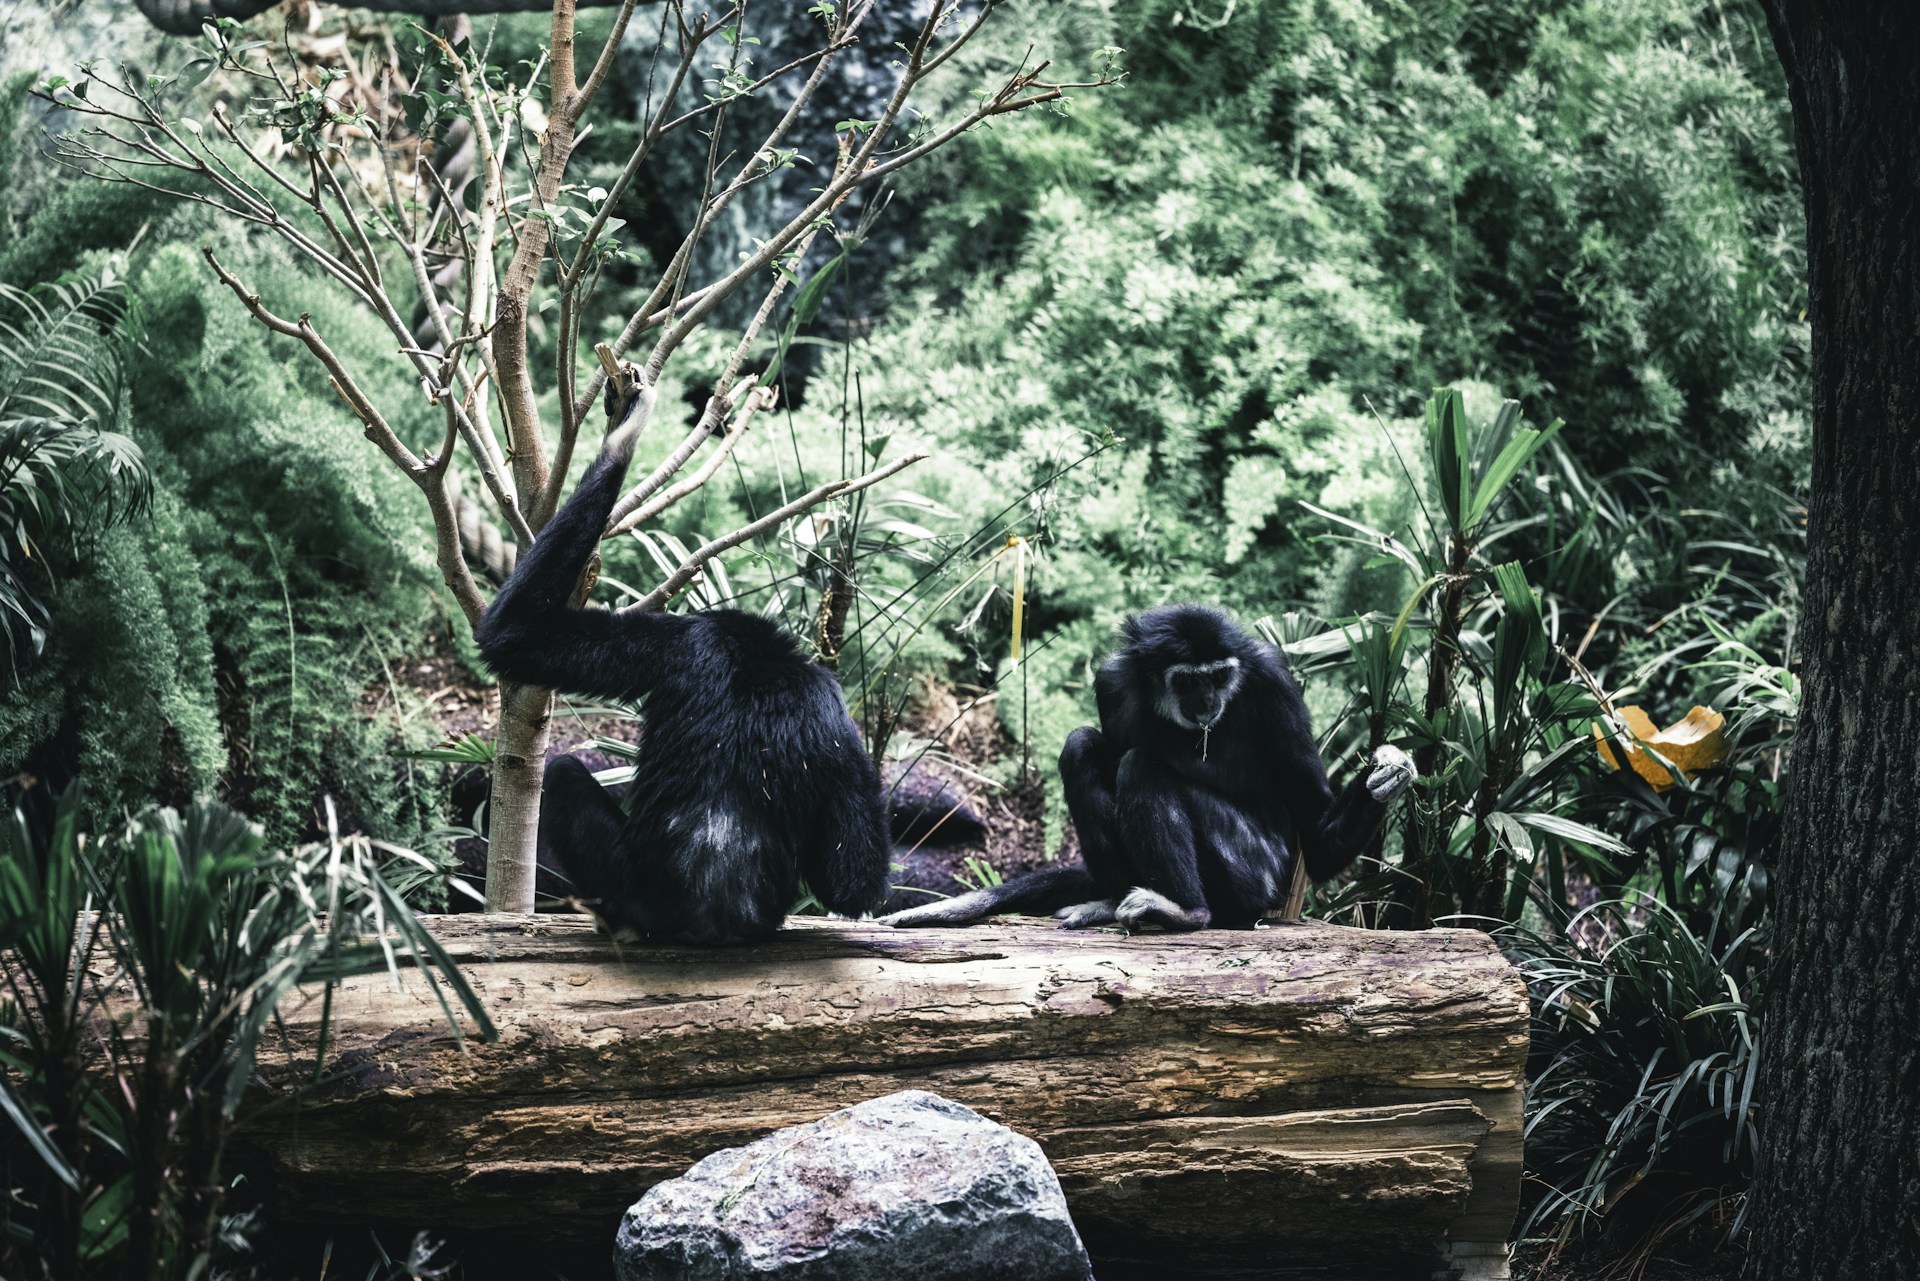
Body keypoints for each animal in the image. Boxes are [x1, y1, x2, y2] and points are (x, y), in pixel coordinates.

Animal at [473, 375, 891, 945]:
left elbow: (514, 635)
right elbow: (853, 883)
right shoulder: (829, 705)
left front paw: (622, 438)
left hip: (629, 887)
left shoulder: (679, 641)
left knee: (560, 773)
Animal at [878, 605, 1415, 932]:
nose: (1209, 700)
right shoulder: (1112, 680)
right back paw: (1113, 901)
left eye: (1220, 676)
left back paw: (1187, 912)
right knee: (1084, 748)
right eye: (1188, 681)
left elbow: (1319, 836)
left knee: (1141, 765)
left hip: (1256, 873)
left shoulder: (1273, 681)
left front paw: (1385, 779)